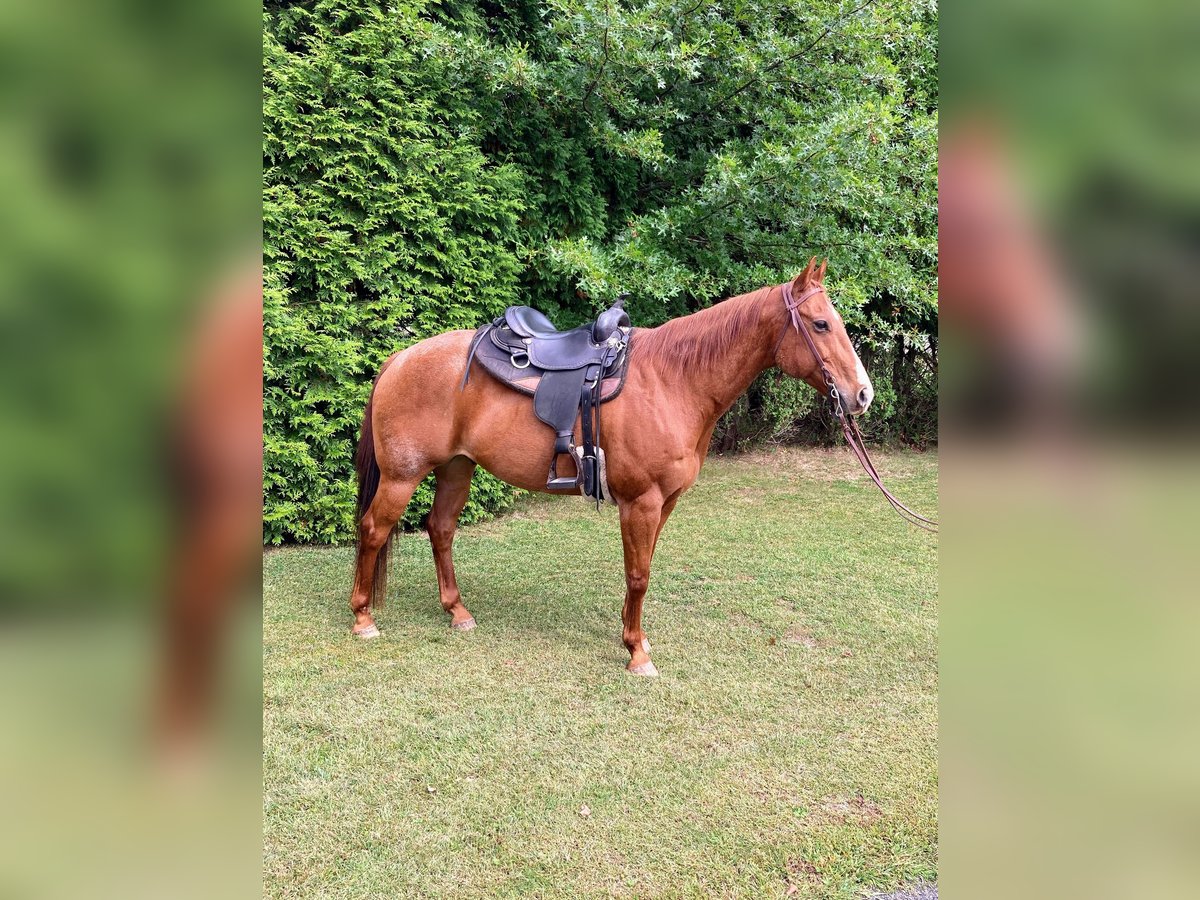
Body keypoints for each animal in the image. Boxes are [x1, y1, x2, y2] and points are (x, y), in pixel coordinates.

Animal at [349, 257, 873, 676]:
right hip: (402, 476)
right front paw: (637, 653)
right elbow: (638, 574)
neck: (672, 381)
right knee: (373, 529)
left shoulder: (664, 503)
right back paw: (363, 618)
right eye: (820, 325)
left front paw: (632, 635)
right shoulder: (640, 502)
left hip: (457, 468)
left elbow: (643, 569)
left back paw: (457, 612)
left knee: (440, 528)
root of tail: (399, 359)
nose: (862, 394)